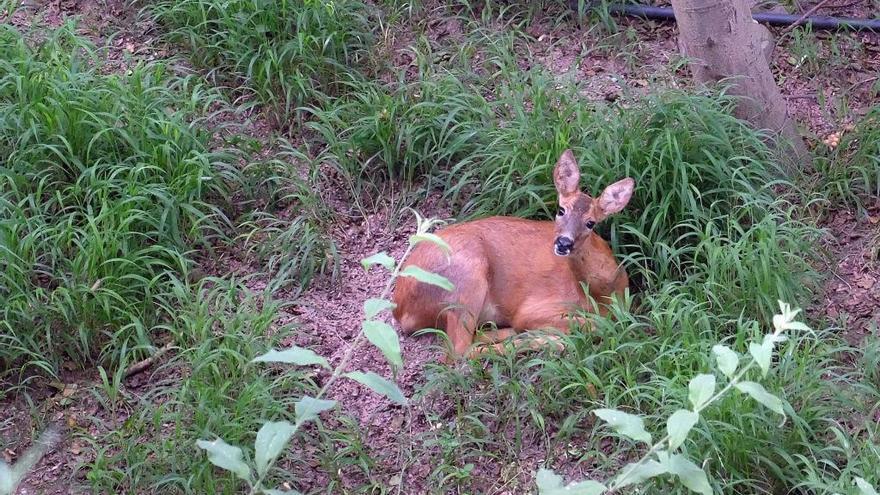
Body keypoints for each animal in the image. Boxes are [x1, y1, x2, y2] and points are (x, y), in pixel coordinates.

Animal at [392, 149, 632, 362]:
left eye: (591, 222)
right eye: (561, 210)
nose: (563, 243)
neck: (602, 294)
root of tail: (400, 309)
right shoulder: (533, 308)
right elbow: (593, 324)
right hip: (466, 278)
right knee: (458, 351)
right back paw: (546, 341)